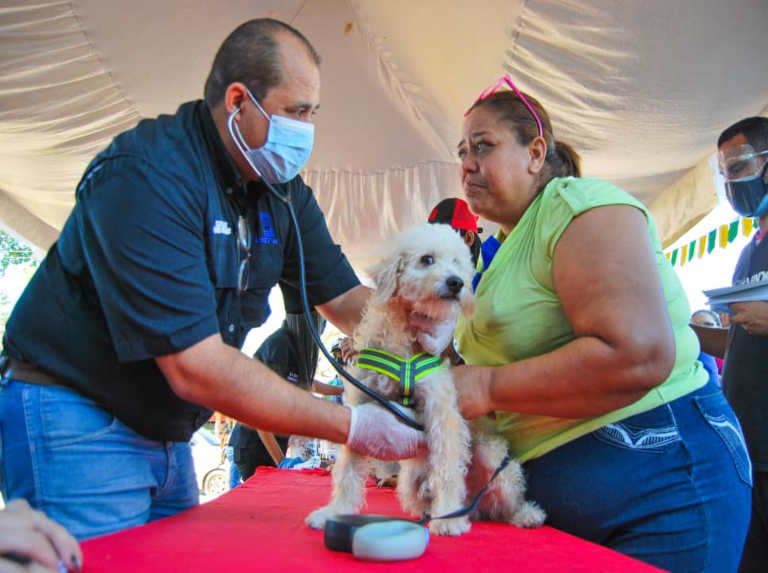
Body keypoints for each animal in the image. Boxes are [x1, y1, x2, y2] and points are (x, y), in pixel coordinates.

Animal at [306, 221, 544, 536]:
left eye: (458, 263)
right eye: (427, 259)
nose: (456, 282)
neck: (404, 337)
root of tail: (476, 507)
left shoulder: (441, 412)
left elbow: (447, 469)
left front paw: (449, 518)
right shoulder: (363, 404)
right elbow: (347, 471)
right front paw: (335, 511)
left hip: (495, 462)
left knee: (506, 503)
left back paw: (522, 515)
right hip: (409, 483)